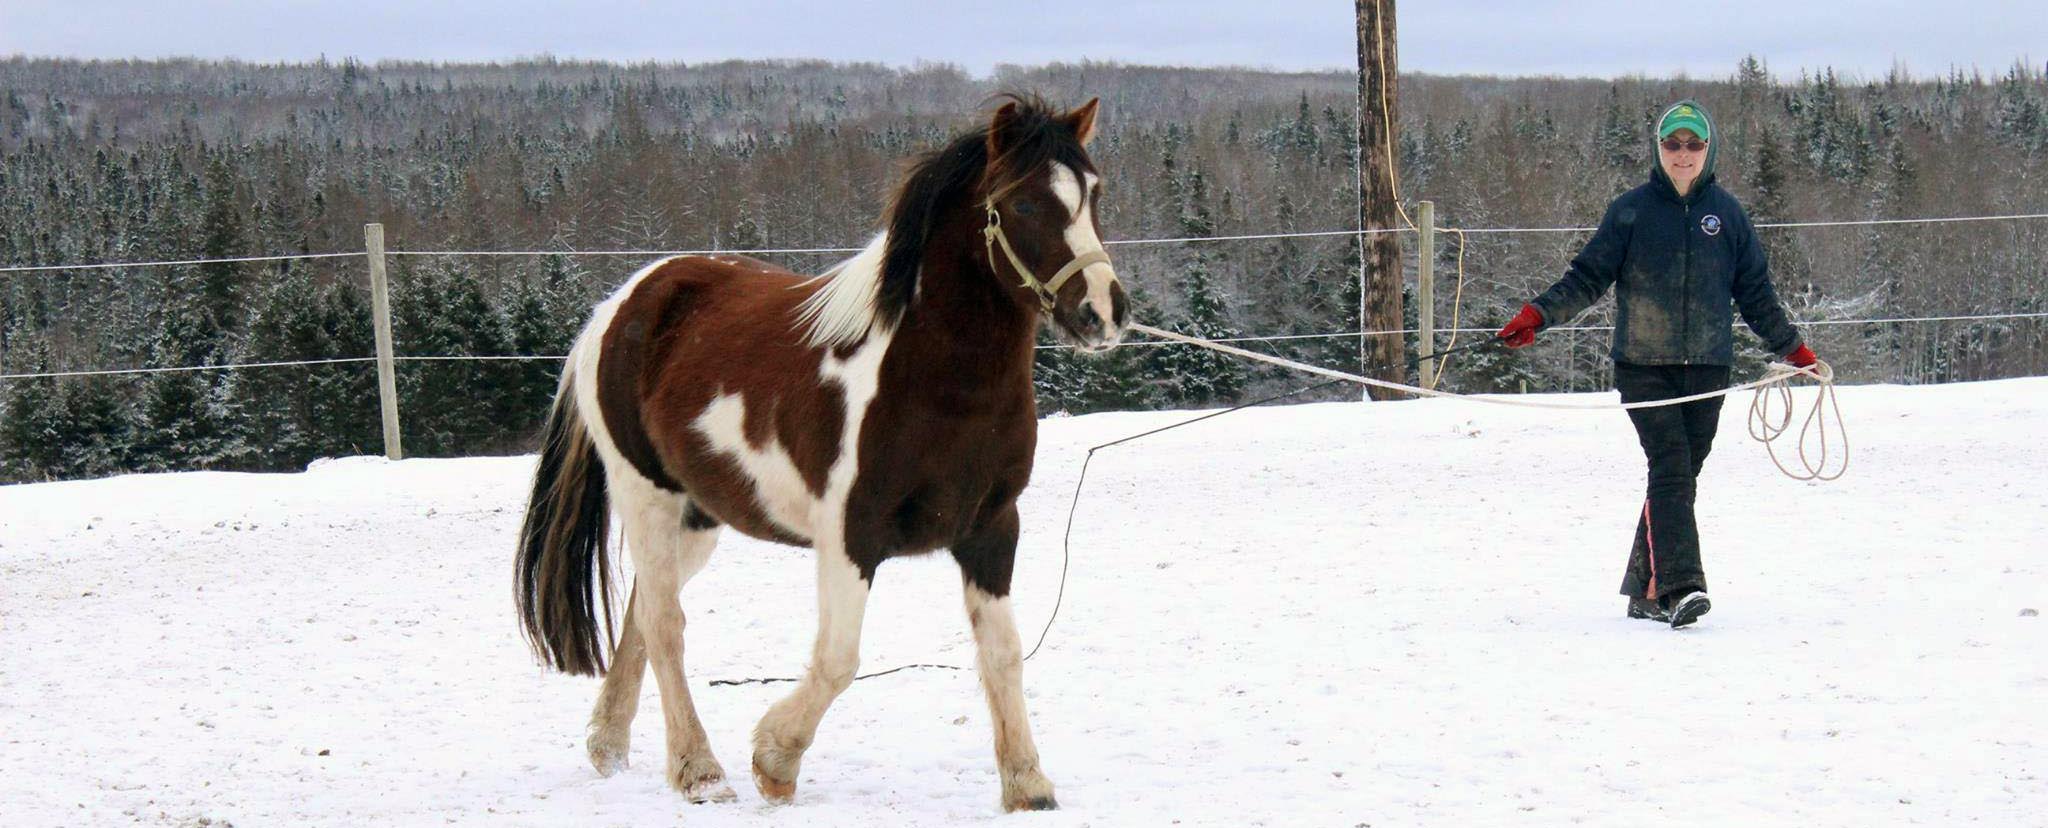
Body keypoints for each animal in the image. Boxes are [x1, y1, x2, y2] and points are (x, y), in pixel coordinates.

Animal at [509, 95, 1122, 807]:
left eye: (1093, 193)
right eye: (1022, 204)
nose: (1104, 312)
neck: (935, 385)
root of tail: (619, 305)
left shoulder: (991, 530)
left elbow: (1003, 654)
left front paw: (1028, 783)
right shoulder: (850, 536)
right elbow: (838, 660)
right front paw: (774, 759)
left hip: (698, 516)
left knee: (641, 611)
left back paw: (609, 744)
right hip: (645, 495)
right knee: (664, 624)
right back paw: (700, 771)